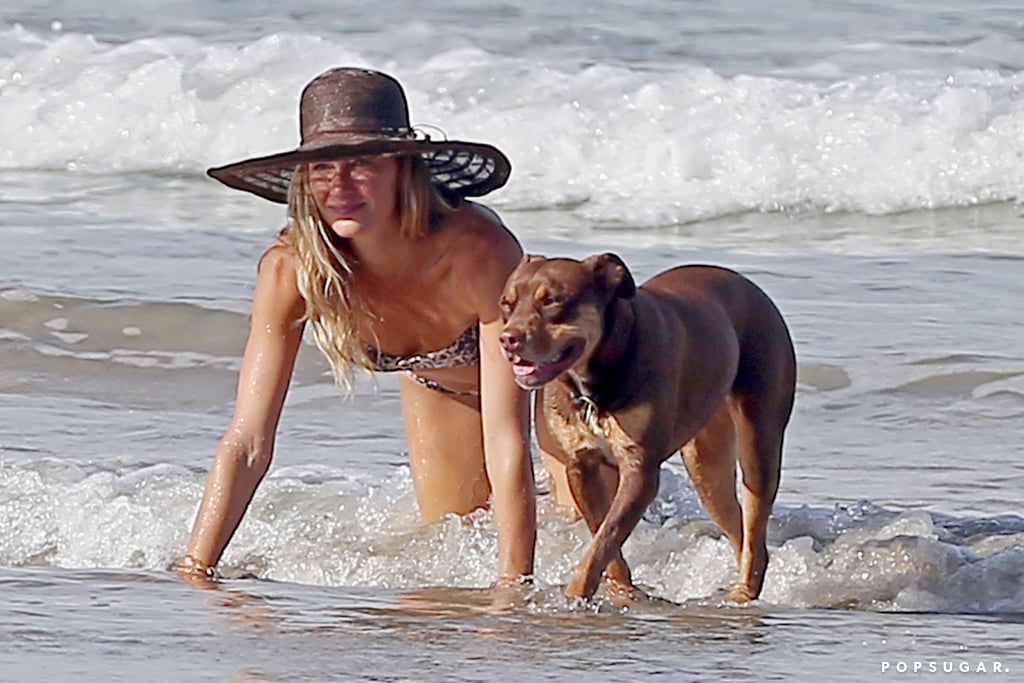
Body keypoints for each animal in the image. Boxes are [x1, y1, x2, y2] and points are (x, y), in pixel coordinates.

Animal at [499, 252, 794, 602]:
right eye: (506, 304)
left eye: (552, 301)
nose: (508, 339)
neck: (595, 379)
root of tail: (755, 291)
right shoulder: (581, 466)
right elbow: (604, 539)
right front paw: (621, 592)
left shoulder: (640, 470)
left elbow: (603, 540)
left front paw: (575, 595)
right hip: (705, 462)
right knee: (738, 526)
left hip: (759, 438)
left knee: (754, 523)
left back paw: (742, 594)